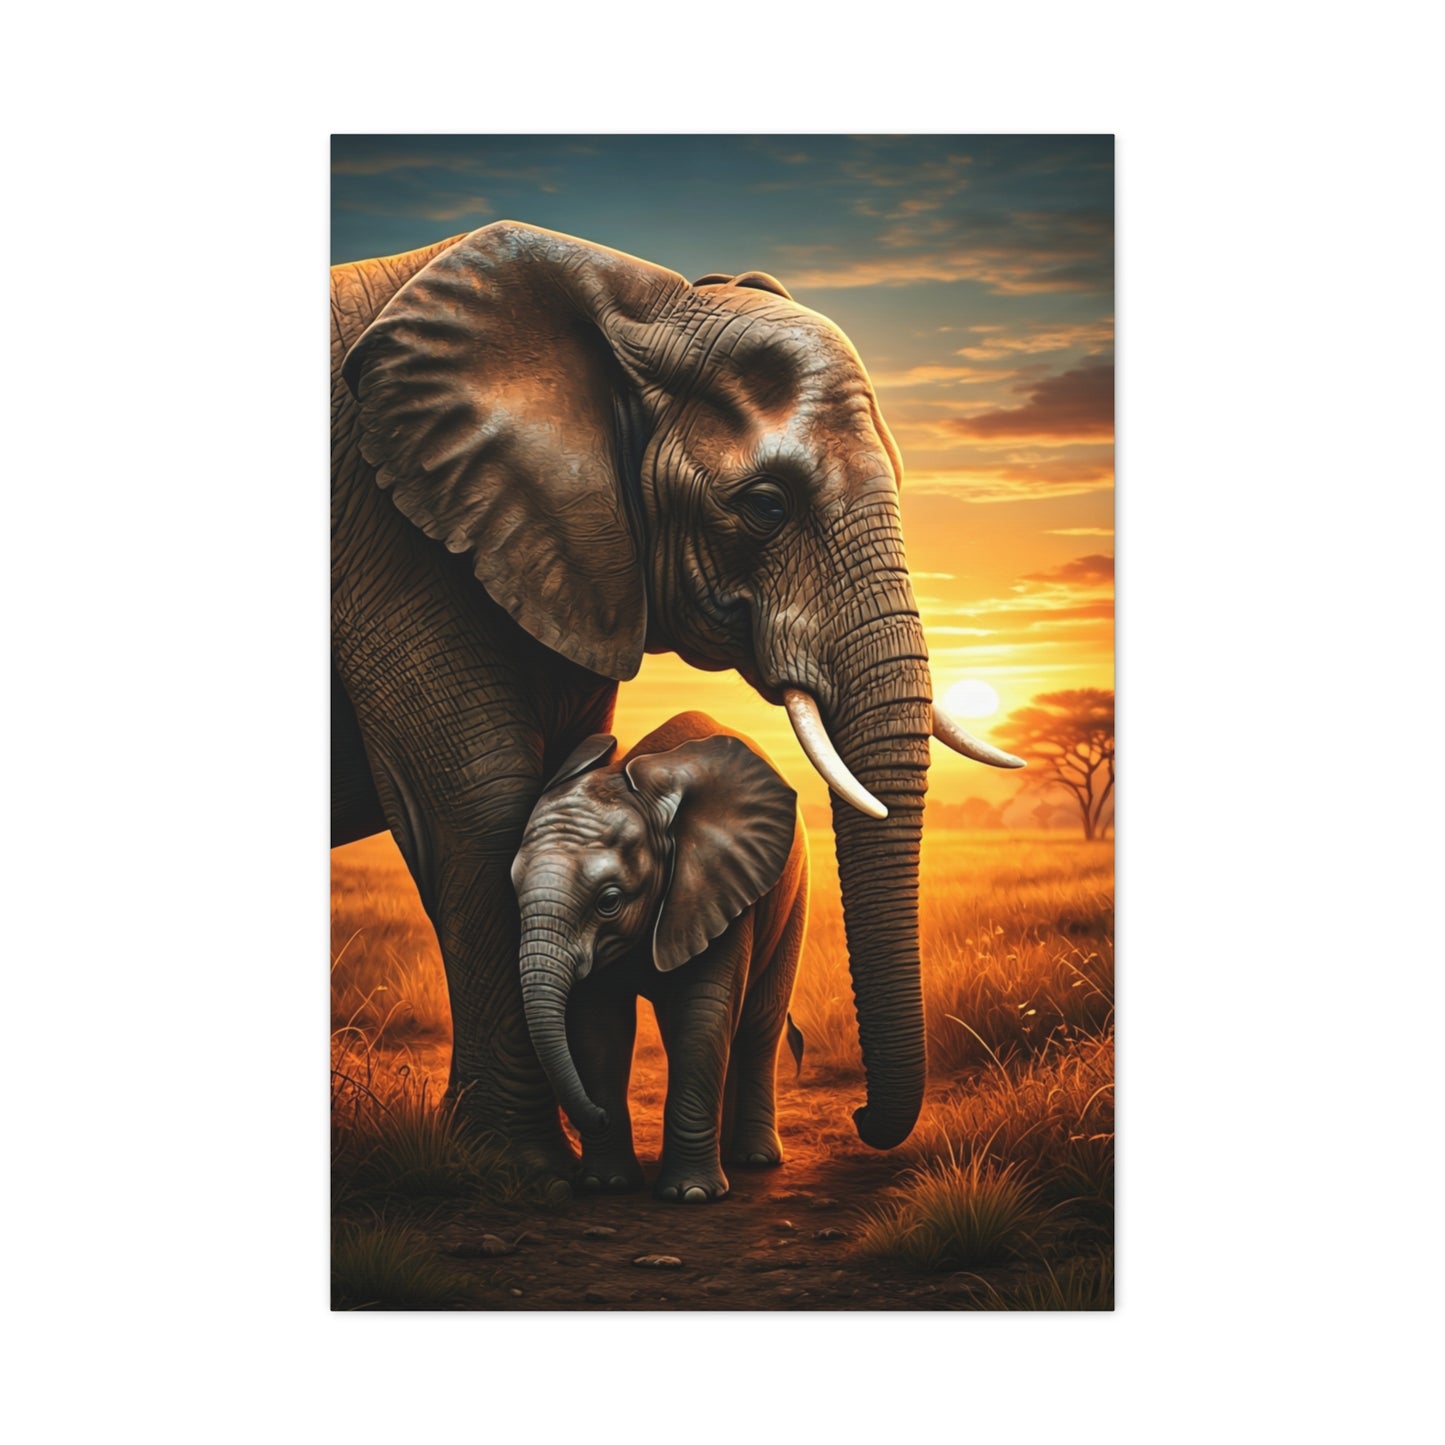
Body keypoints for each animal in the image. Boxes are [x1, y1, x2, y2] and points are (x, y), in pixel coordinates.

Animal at [510, 713, 809, 1203]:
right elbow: (599, 1024)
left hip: (794, 895)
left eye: (609, 901)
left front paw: (692, 1195)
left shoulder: (717, 888)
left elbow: (701, 1016)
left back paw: (755, 1159)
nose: (596, 1115)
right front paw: (607, 1184)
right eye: (514, 887)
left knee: (758, 1024)